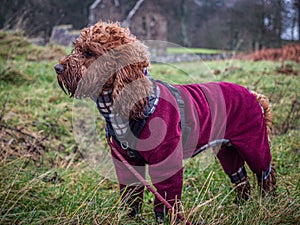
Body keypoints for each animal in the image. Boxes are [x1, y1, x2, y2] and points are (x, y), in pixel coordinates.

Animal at [54, 20, 276, 221]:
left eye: (90, 53)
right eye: (76, 47)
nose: (57, 67)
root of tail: (253, 95)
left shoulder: (166, 160)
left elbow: (167, 198)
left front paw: (166, 220)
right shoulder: (126, 162)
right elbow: (131, 195)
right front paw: (129, 218)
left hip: (253, 143)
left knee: (266, 174)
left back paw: (267, 203)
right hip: (227, 150)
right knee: (240, 179)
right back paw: (241, 206)